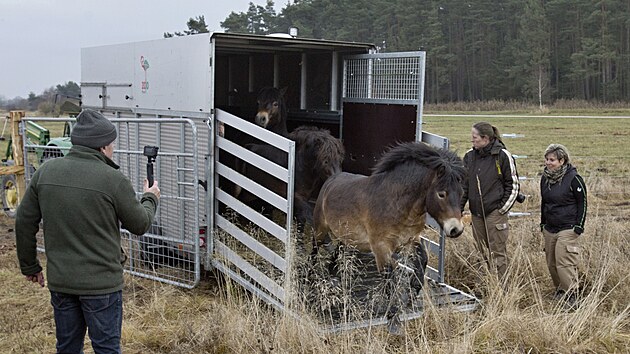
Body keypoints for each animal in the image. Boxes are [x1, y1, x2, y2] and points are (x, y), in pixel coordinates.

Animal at [314, 142, 466, 276]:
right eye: (441, 194)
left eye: (461, 193)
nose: (456, 229)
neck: (396, 205)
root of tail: (331, 179)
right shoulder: (381, 248)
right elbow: (389, 278)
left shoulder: (411, 239)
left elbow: (423, 259)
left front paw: (415, 284)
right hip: (320, 230)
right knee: (315, 250)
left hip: (346, 238)